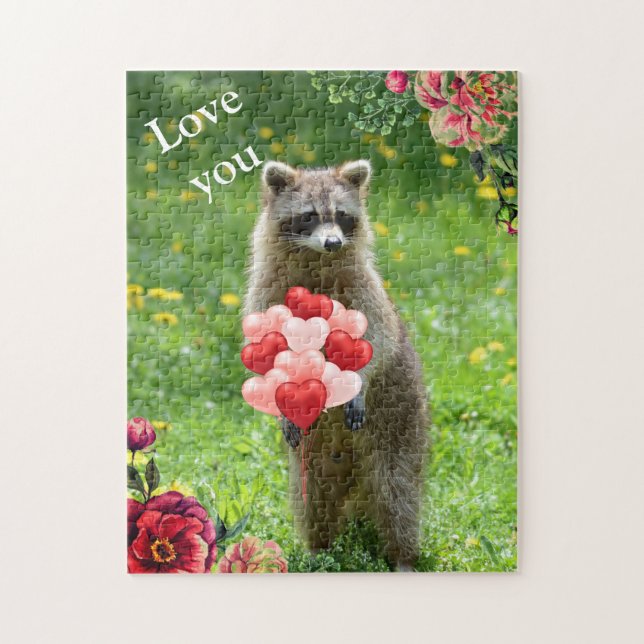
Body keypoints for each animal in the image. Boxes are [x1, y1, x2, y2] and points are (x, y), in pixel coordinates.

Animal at [244, 160, 429, 569]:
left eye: (341, 215)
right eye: (309, 216)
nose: (333, 243)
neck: (317, 260)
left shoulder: (363, 288)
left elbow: (379, 335)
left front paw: (357, 379)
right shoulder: (267, 289)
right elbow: (262, 348)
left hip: (401, 421)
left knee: (397, 493)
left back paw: (403, 555)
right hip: (313, 460)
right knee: (313, 500)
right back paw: (319, 548)